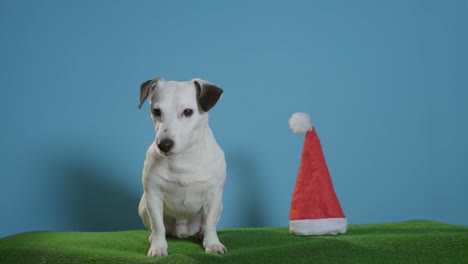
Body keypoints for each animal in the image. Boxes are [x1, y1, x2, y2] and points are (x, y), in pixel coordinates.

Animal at [137, 77, 227, 256]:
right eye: (156, 111)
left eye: (188, 112)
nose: (164, 144)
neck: (183, 158)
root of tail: (182, 231)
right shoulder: (153, 196)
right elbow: (158, 226)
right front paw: (158, 247)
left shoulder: (214, 195)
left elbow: (210, 224)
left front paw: (212, 244)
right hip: (143, 206)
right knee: (158, 228)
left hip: (219, 206)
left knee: (205, 224)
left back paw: (201, 234)